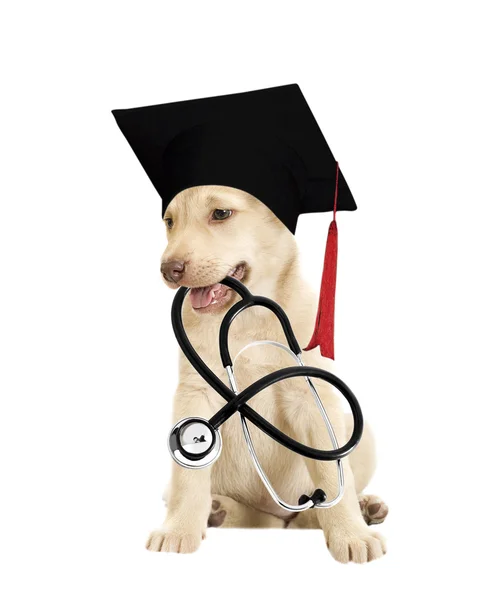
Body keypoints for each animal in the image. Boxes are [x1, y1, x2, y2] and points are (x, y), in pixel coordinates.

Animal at [146, 184, 388, 564]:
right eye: (170, 222)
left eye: (220, 214)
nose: (169, 270)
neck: (244, 318)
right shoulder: (193, 394)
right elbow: (188, 479)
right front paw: (178, 530)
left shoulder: (311, 398)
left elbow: (334, 477)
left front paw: (351, 533)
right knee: (254, 516)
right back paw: (218, 510)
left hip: (363, 440)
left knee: (310, 513)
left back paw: (364, 508)